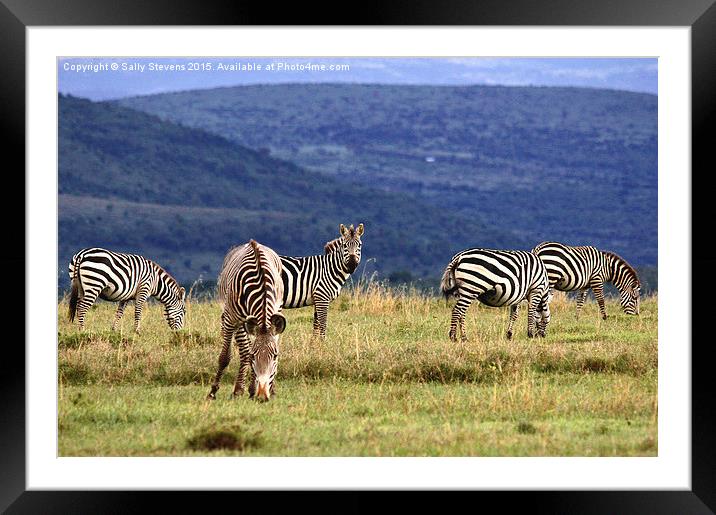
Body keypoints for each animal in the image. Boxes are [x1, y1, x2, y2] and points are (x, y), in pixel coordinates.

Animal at [206, 240, 286, 406]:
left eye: (275, 356)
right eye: (253, 357)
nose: (262, 397)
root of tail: (252, 243)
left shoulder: (275, 316)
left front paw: (271, 390)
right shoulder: (231, 320)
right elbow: (225, 357)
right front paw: (213, 392)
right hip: (235, 320)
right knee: (243, 350)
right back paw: (239, 390)